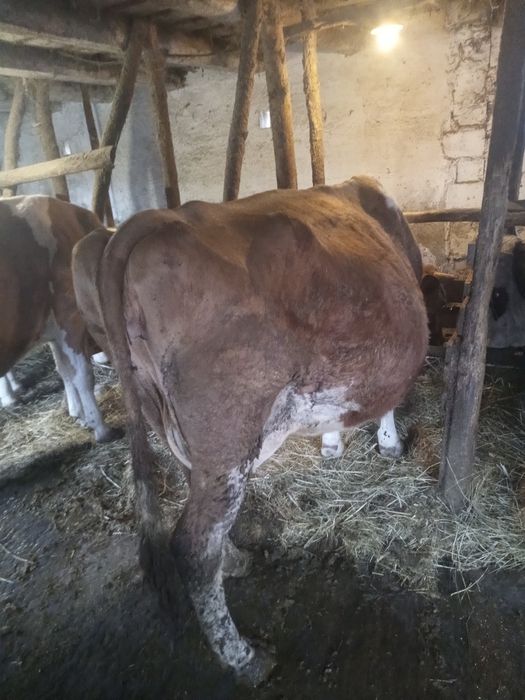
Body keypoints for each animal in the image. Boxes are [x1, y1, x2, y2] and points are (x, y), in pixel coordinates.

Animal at [0, 195, 117, 442]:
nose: (105, 358)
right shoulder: (68, 317)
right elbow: (81, 375)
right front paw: (100, 427)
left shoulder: (53, 327)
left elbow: (64, 370)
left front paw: (78, 414)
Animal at [72, 178, 428, 684]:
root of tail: (154, 219)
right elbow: (389, 402)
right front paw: (389, 444)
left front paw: (333, 444)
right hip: (229, 427)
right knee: (193, 545)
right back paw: (245, 657)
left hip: (171, 421)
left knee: (199, 504)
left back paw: (235, 560)